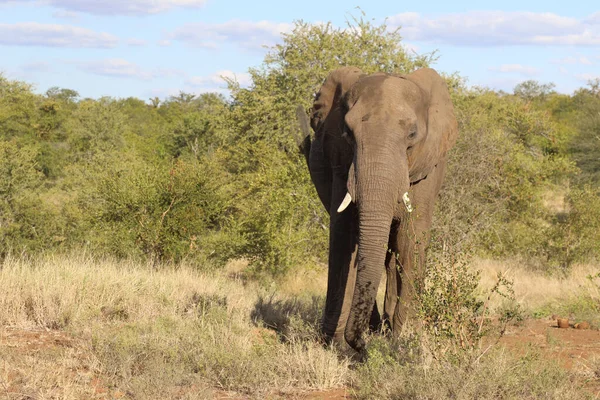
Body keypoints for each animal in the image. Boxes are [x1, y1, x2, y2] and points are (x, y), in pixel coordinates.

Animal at [296, 67, 460, 352]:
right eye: (347, 133)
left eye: (412, 135)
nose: (361, 344)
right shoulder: (340, 162)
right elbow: (344, 234)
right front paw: (334, 343)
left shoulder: (428, 170)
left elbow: (410, 238)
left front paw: (406, 341)